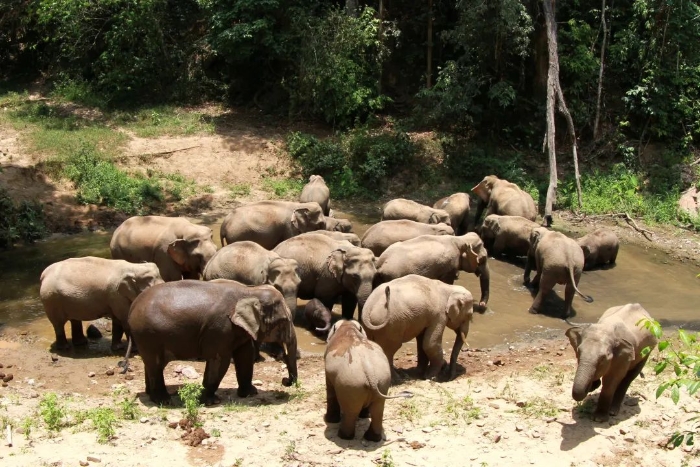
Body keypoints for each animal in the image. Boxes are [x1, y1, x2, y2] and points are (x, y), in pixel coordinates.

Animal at [127, 282, 296, 406]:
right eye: (284, 321)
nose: (285, 381)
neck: (249, 290)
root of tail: (133, 305)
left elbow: (245, 355)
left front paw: (250, 394)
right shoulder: (219, 329)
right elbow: (220, 361)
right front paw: (211, 402)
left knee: (151, 364)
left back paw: (150, 394)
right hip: (148, 334)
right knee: (155, 364)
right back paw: (163, 401)